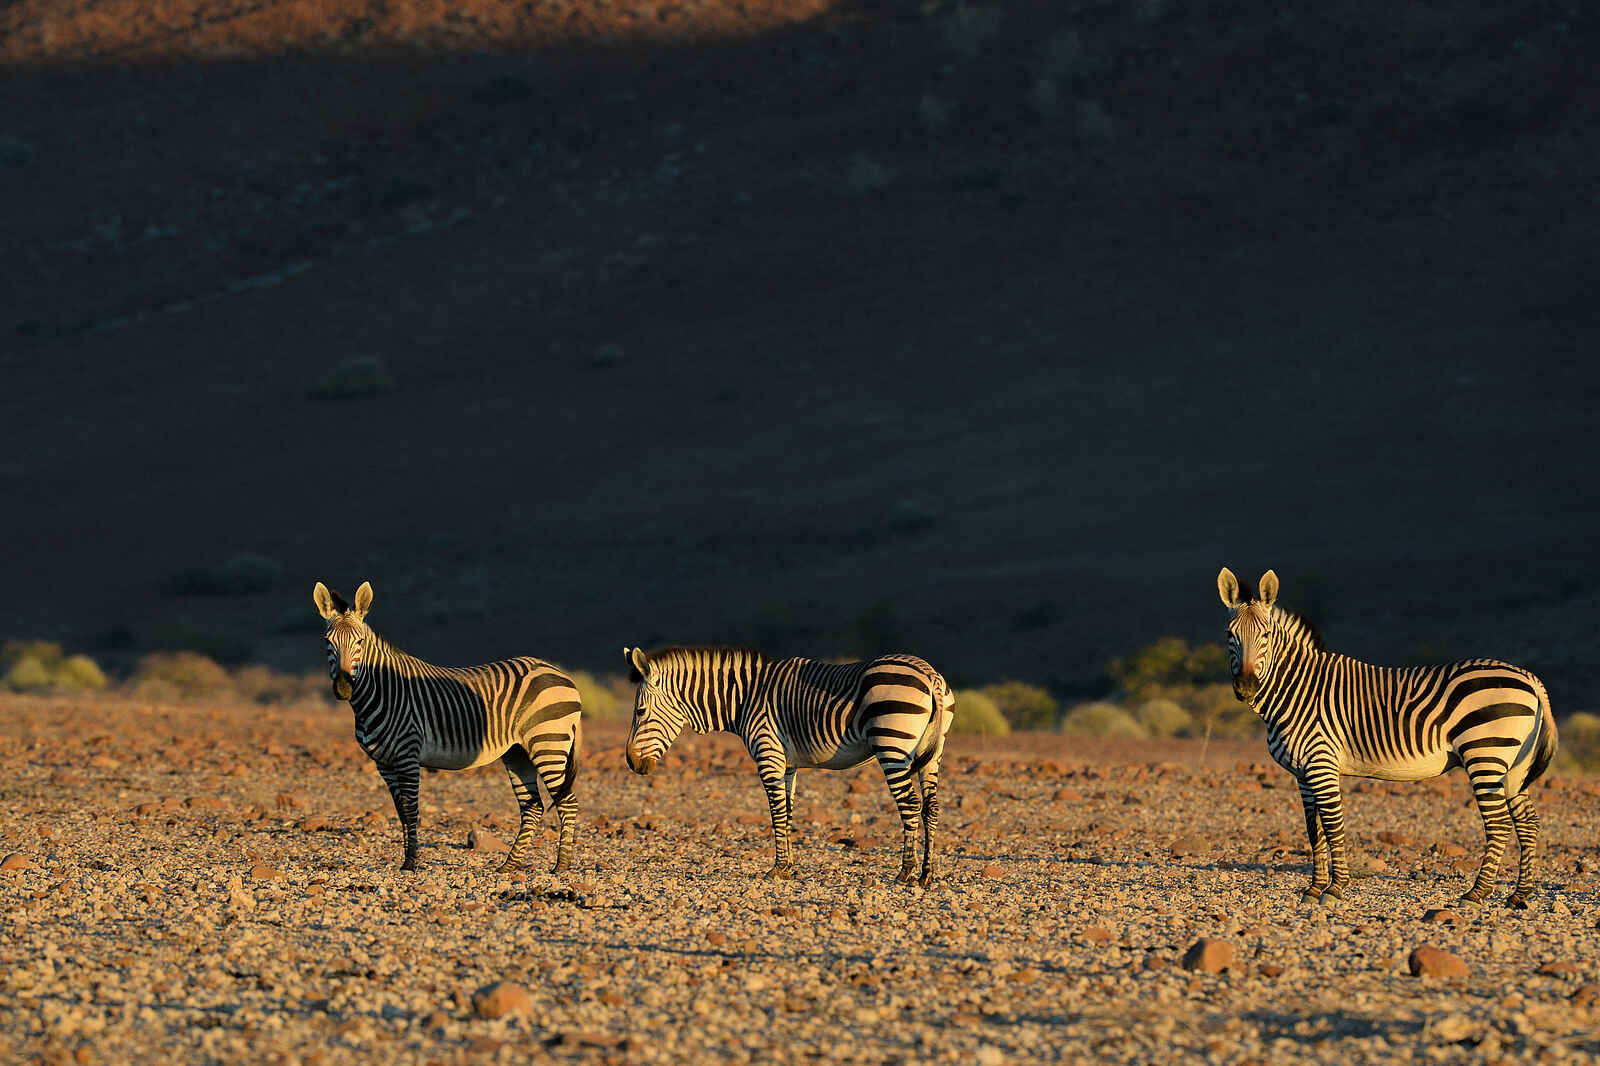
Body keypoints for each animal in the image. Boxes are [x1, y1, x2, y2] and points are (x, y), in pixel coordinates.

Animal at [314, 581, 581, 873]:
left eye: (360, 642)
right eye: (327, 642)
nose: (343, 687)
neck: (383, 690)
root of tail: (560, 673)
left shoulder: (408, 754)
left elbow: (411, 810)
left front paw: (412, 861)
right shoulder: (383, 763)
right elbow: (400, 811)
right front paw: (406, 859)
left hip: (548, 742)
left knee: (567, 802)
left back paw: (562, 865)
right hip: (518, 752)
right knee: (532, 807)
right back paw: (509, 865)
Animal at [621, 645, 955, 885]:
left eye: (639, 711)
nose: (632, 763)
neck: (744, 698)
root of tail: (930, 676)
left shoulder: (768, 753)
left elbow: (776, 811)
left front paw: (778, 868)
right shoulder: (788, 764)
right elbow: (788, 810)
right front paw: (790, 867)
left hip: (892, 744)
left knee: (909, 804)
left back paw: (905, 871)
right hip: (933, 752)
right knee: (931, 806)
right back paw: (926, 874)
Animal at [1217, 567, 1558, 908]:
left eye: (1265, 635)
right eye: (1230, 635)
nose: (1246, 687)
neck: (1297, 689)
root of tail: (1529, 677)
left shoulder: (1321, 763)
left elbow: (1333, 825)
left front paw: (1335, 888)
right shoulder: (1302, 773)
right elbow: (1314, 830)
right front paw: (1314, 888)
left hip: (1485, 754)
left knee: (1499, 825)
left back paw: (1477, 893)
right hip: (1514, 765)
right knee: (1527, 822)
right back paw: (1519, 894)